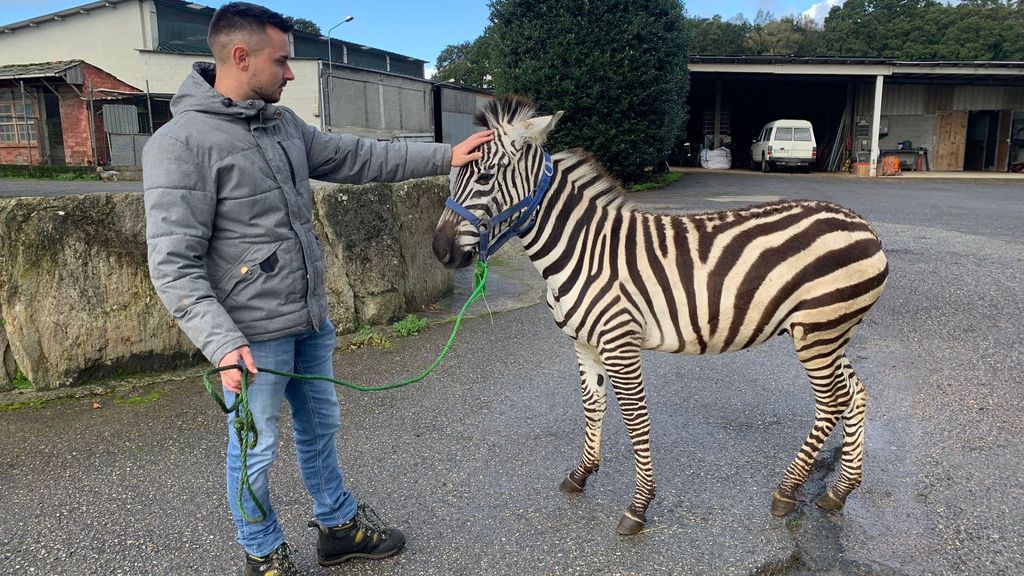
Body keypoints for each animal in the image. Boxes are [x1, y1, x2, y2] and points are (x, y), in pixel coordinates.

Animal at [432, 95, 888, 532]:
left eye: (485, 177)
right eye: (453, 176)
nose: (440, 251)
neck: (582, 249)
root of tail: (864, 226)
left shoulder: (620, 344)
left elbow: (636, 420)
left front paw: (639, 506)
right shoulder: (583, 343)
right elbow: (592, 407)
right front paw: (582, 474)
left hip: (818, 330)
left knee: (832, 401)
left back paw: (788, 490)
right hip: (829, 331)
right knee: (856, 393)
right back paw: (839, 492)